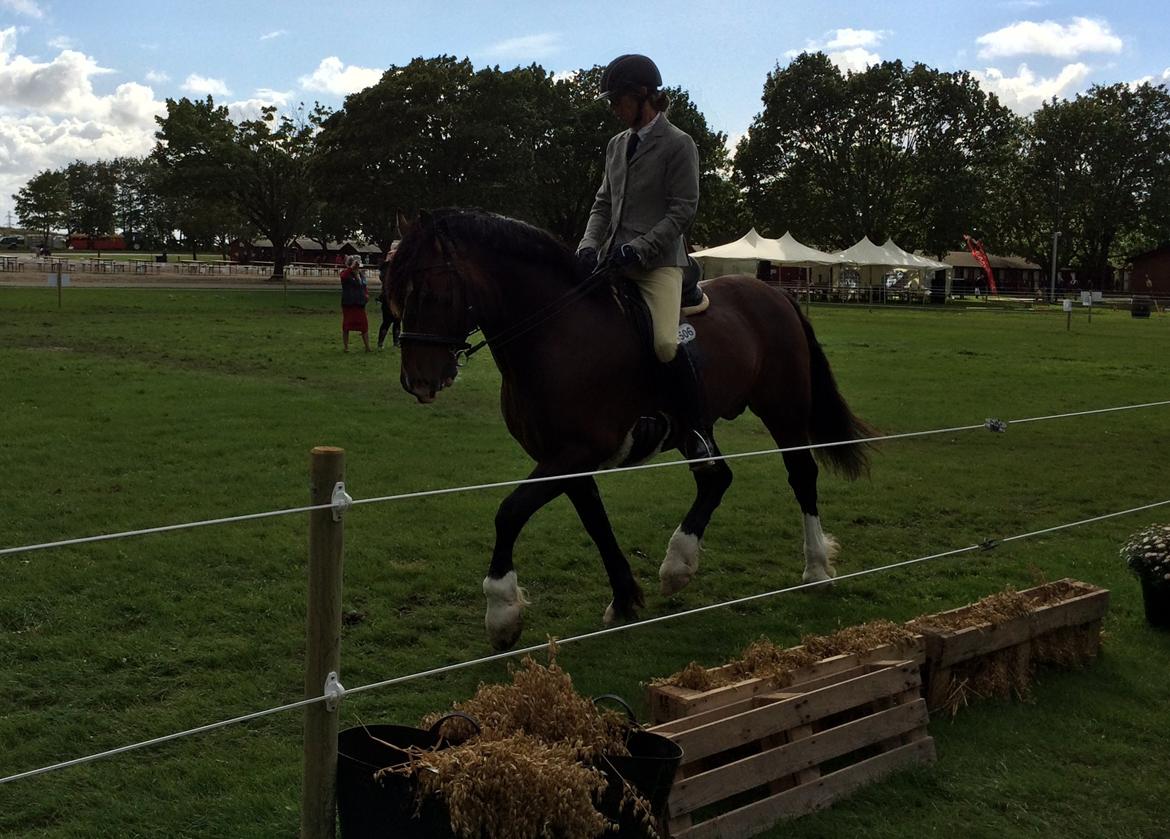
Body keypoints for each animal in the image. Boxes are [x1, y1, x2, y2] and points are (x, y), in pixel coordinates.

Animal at [388, 208, 875, 645]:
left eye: (430, 292)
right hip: (695, 428)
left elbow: (510, 511)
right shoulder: (564, 457)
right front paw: (624, 600)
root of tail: (774, 295)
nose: (417, 381)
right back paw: (678, 565)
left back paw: (816, 568)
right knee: (716, 478)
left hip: (783, 408)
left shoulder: (574, 453)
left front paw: (502, 612)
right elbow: (595, 521)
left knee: (801, 475)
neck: (556, 334)